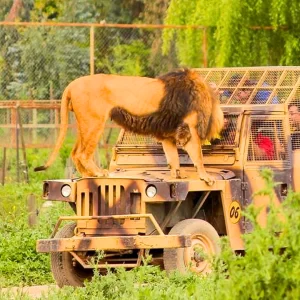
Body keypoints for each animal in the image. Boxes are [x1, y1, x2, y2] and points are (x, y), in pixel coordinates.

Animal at [34, 69, 223, 184]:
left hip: (84, 124)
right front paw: (206, 177)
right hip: (94, 122)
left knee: (74, 153)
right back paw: (99, 173)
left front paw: (177, 174)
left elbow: (173, 157)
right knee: (82, 154)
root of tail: (72, 84)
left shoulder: (168, 134)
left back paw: (87, 175)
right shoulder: (189, 129)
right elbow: (198, 156)